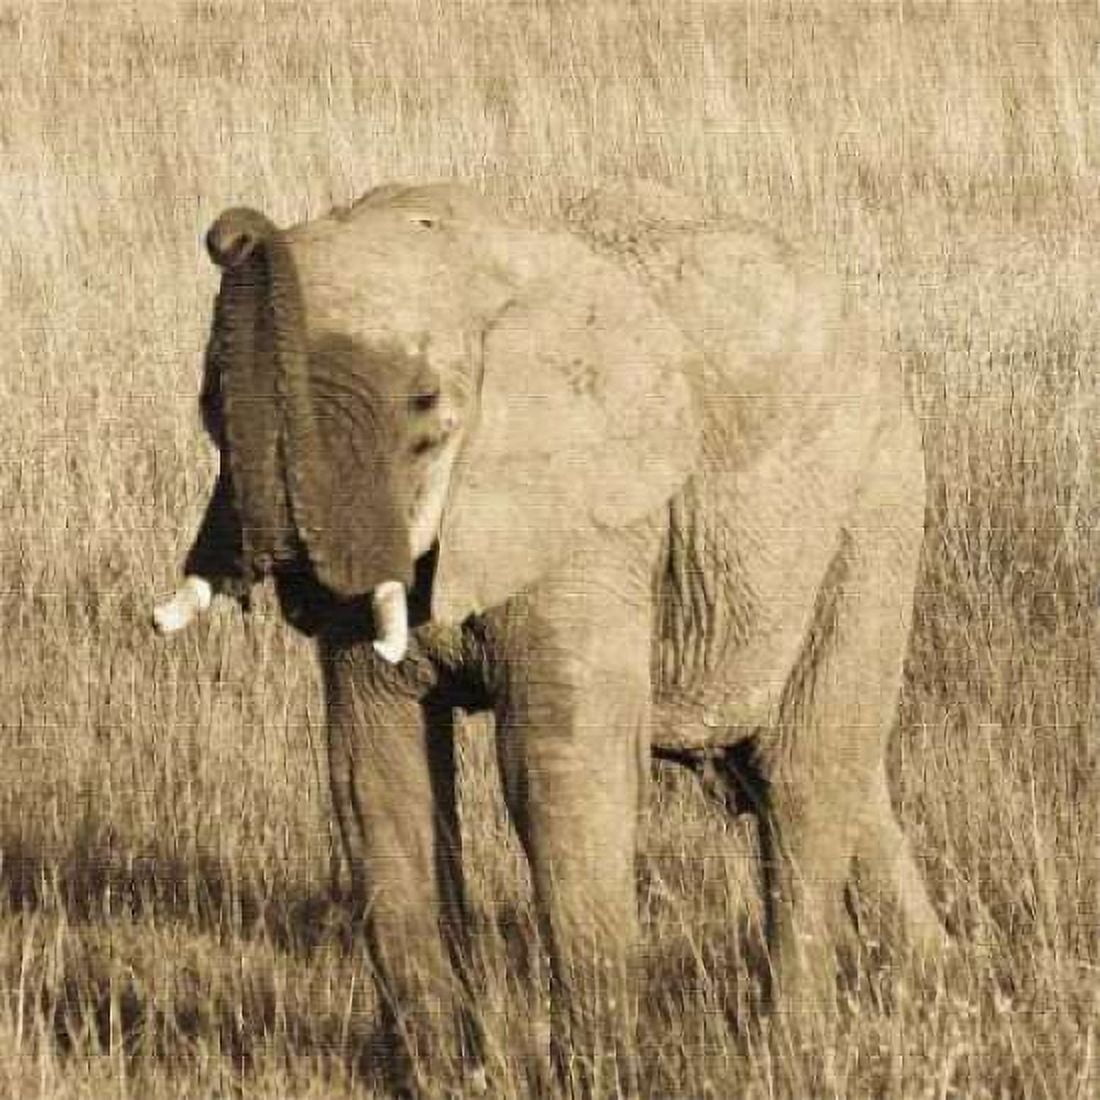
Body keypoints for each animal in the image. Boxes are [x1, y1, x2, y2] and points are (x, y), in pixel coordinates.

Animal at [155, 179, 948, 1093]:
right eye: (207, 402)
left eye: (426, 406)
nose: (232, 233)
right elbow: (376, 769)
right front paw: (443, 1081)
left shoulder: (593, 510)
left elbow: (553, 763)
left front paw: (598, 1078)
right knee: (823, 773)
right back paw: (944, 985)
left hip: (875, 507)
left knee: (805, 775)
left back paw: (793, 1054)